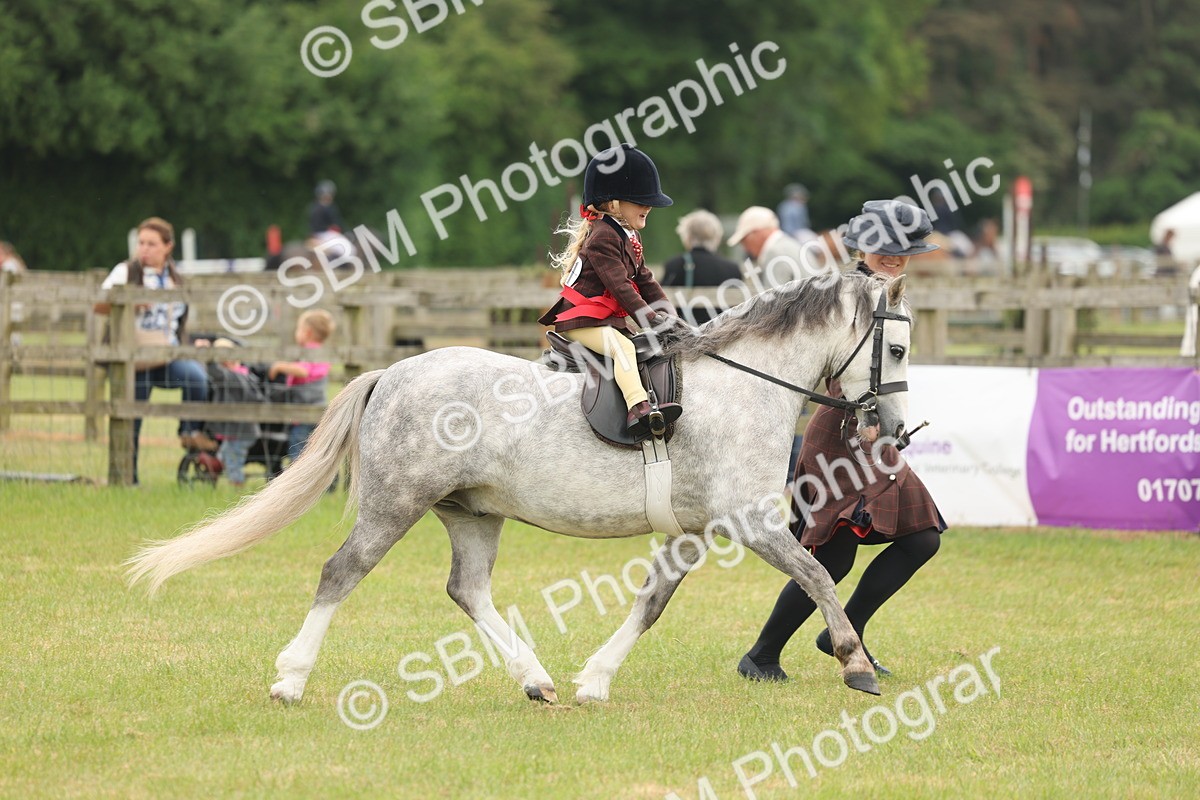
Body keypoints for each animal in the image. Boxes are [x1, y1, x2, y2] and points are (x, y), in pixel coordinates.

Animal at [127, 271, 913, 704]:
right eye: (898, 348)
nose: (898, 430)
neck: (744, 388)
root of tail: (394, 372)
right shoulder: (750, 523)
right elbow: (817, 574)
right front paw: (855, 664)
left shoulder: (693, 532)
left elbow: (652, 603)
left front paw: (595, 680)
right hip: (395, 503)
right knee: (341, 572)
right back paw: (291, 679)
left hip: (471, 514)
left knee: (467, 589)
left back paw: (537, 679)